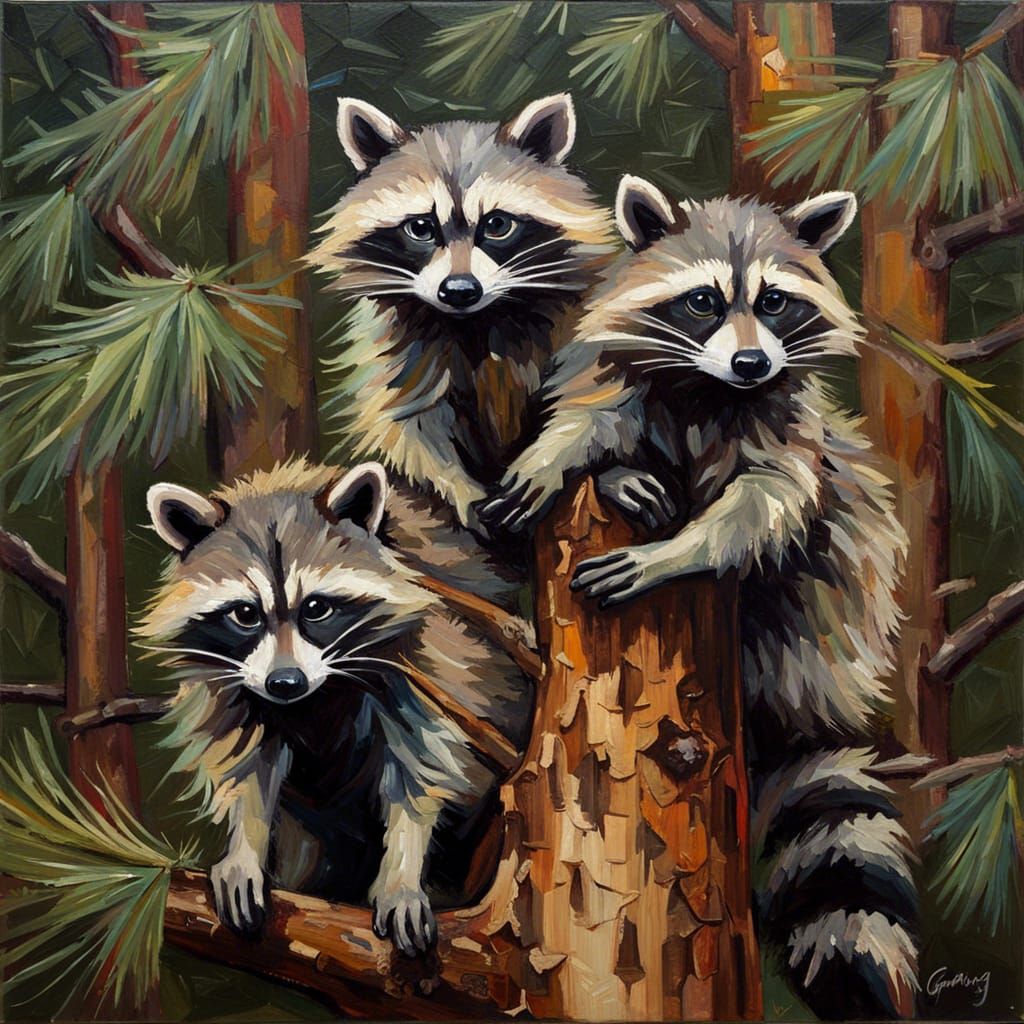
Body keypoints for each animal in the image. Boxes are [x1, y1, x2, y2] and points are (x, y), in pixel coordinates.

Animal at [138, 460, 533, 955]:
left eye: (316, 608)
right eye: (245, 614)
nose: (285, 682)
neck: (316, 695)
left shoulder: (429, 662)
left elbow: (419, 770)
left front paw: (403, 869)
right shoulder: (234, 684)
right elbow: (251, 768)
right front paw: (244, 846)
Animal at [306, 93, 613, 544]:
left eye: (497, 224)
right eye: (420, 228)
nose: (459, 290)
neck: (478, 319)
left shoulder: (581, 312)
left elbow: (596, 392)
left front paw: (551, 455)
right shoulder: (397, 341)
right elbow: (406, 419)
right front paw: (456, 482)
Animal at [483, 179, 918, 1018]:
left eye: (775, 302)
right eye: (704, 301)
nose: (751, 360)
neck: (709, 386)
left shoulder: (781, 421)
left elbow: (768, 502)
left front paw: (679, 554)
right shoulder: (616, 368)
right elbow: (590, 415)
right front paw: (565, 455)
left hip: (828, 594)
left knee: (829, 517)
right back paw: (628, 480)